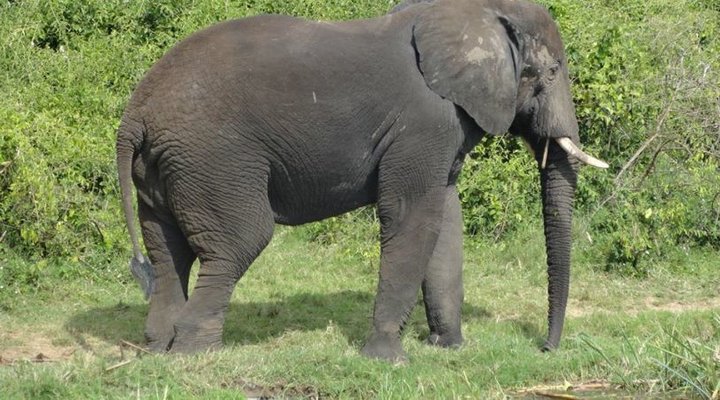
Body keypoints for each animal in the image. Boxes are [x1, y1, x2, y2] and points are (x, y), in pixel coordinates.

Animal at [116, 0, 608, 362]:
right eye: (551, 72)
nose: (545, 349)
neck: (477, 12)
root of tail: (135, 115)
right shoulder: (425, 123)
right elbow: (413, 217)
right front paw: (389, 360)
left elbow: (445, 220)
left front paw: (447, 349)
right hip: (214, 159)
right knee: (238, 242)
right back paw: (197, 354)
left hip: (166, 167)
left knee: (167, 251)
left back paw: (158, 347)